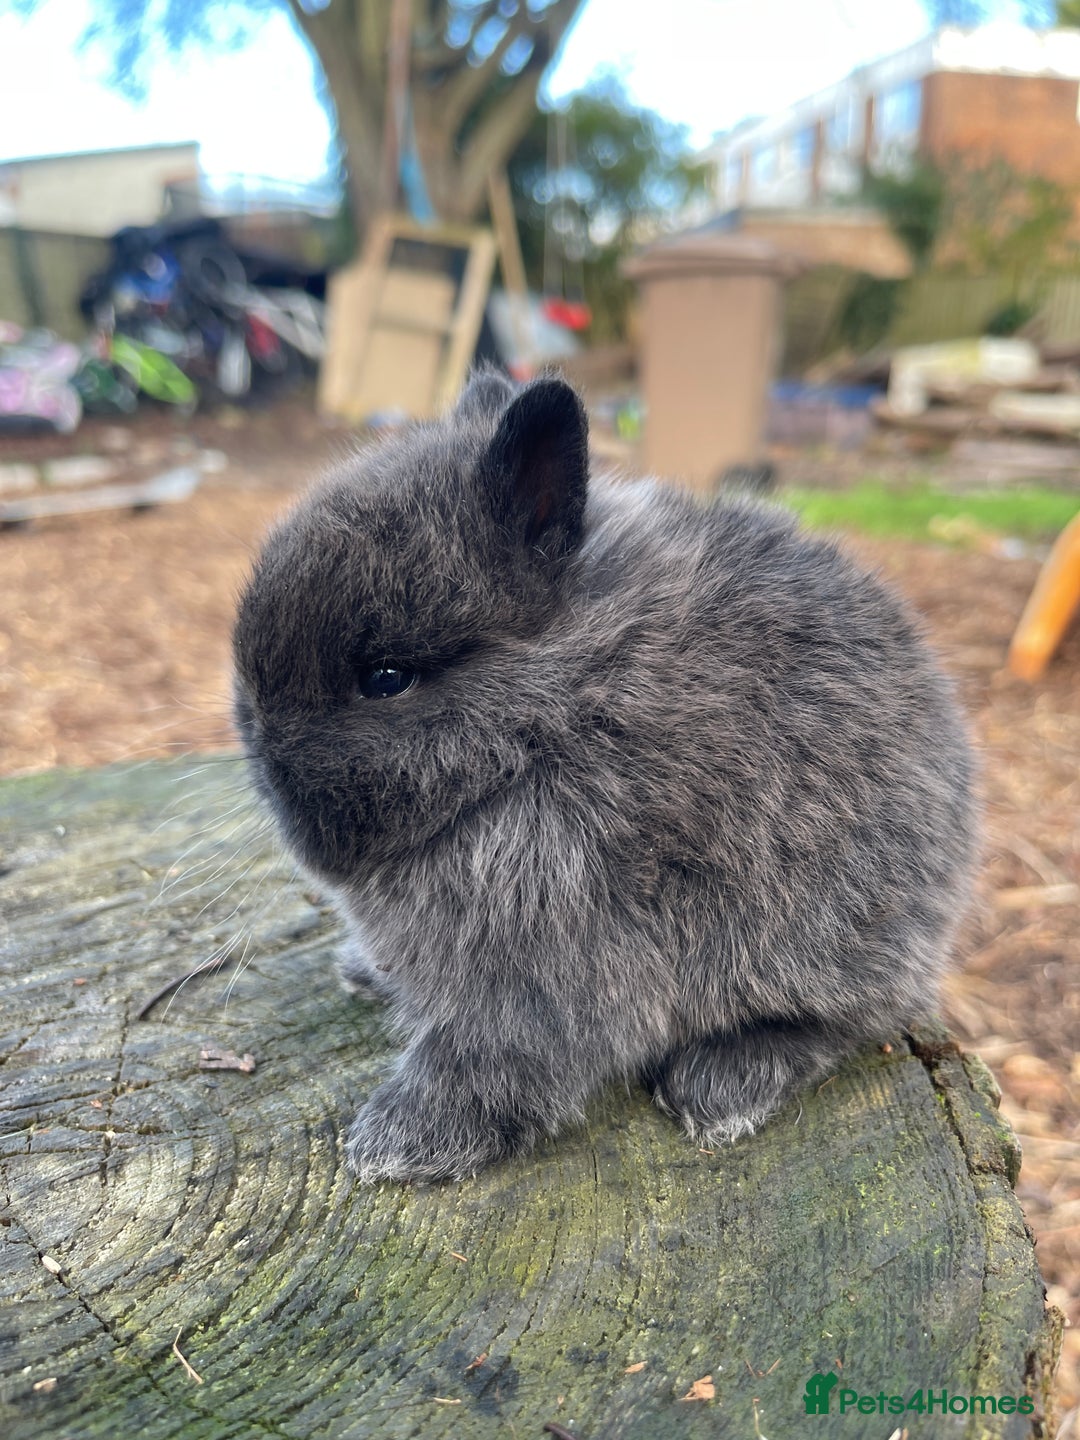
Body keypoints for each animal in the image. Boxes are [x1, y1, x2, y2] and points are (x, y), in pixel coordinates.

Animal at [232, 368, 977, 1184]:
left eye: (387, 679)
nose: (283, 806)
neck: (556, 706)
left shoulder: (544, 965)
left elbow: (492, 1058)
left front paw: (396, 1142)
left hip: (830, 946)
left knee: (849, 1022)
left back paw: (723, 1085)